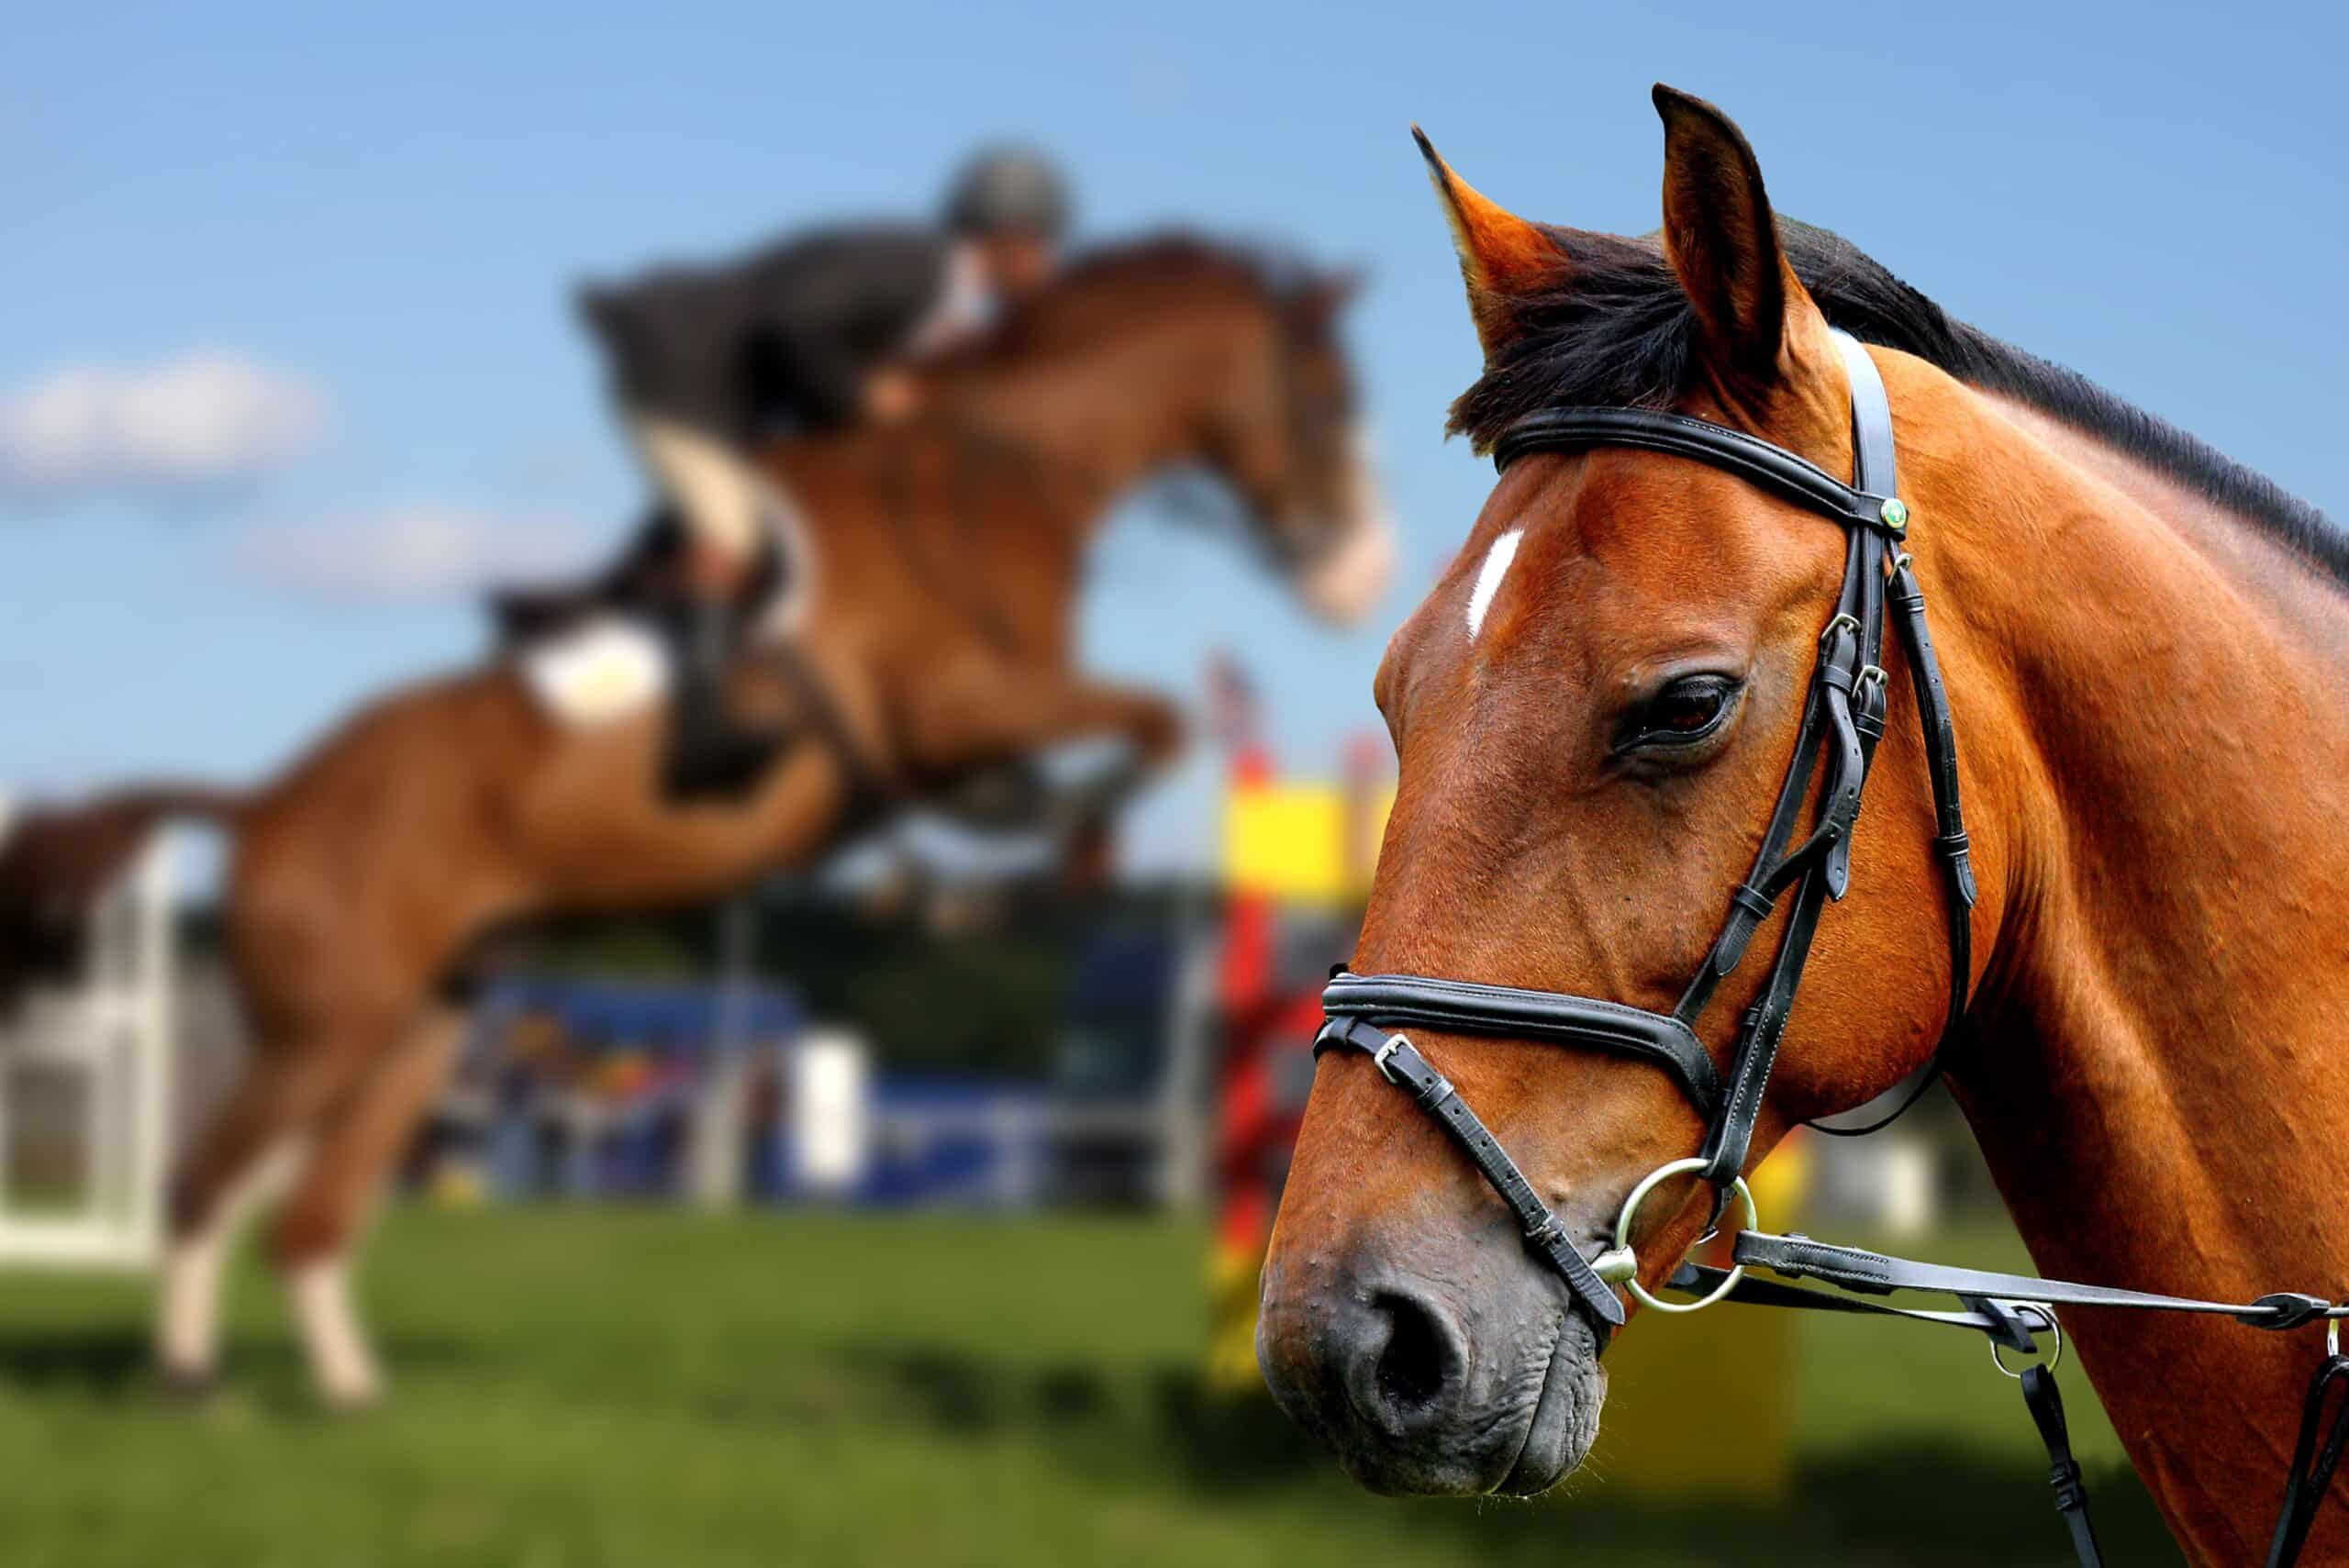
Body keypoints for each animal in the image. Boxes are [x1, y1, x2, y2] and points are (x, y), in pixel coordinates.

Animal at [5, 236, 1390, 1408]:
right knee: (204, 1186)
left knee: (308, 1219)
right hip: (331, 1022)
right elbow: (1155, 719)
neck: (998, 472)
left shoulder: (953, 738)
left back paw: (350, 1393)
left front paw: (990, 864)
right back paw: (193, 1386)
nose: (1355, 577)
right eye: (1328, 396)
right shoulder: (951, 708)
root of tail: (265, 800)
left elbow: (1122, 743)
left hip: (415, 1025)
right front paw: (1002, 873)